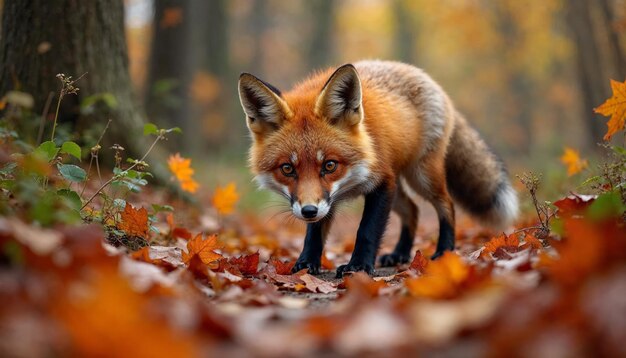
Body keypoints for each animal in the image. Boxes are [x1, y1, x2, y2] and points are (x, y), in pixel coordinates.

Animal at [236, 60, 516, 276]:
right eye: (287, 169)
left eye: (329, 165)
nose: (308, 211)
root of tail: (423, 75)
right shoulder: (327, 199)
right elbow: (314, 233)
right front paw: (306, 263)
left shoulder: (381, 182)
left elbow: (367, 230)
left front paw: (358, 266)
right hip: (400, 188)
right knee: (413, 210)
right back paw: (400, 254)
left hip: (422, 176)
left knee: (447, 205)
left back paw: (444, 251)